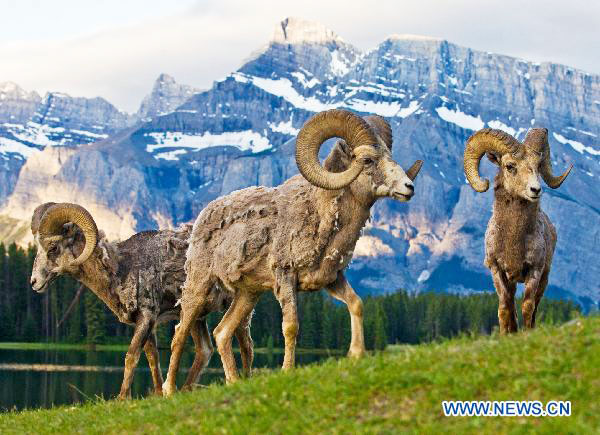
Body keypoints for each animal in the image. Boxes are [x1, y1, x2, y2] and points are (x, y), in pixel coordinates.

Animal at [29, 203, 254, 400]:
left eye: (53, 247)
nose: (34, 282)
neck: (120, 268)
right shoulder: (148, 323)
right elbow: (152, 358)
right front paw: (157, 394)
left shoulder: (146, 316)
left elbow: (131, 356)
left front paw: (122, 398)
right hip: (197, 315)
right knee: (205, 350)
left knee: (244, 343)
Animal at [164, 110, 424, 396]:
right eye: (367, 160)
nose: (408, 187)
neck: (319, 212)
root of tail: (201, 219)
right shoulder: (286, 279)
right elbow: (290, 327)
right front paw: (287, 371)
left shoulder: (332, 279)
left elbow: (356, 304)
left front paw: (356, 355)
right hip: (199, 289)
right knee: (179, 334)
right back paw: (169, 391)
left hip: (248, 295)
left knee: (222, 332)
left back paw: (233, 382)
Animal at [464, 129, 572, 334]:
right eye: (510, 166)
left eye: (537, 166)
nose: (535, 190)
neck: (514, 241)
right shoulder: (497, 270)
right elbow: (505, 307)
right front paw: (506, 334)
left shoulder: (534, 271)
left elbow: (528, 307)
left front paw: (527, 332)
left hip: (544, 278)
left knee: (535, 306)